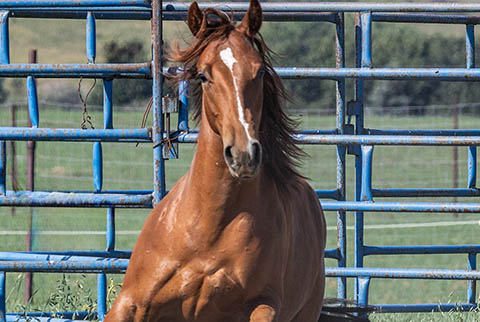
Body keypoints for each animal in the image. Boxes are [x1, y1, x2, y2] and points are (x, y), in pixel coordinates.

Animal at [105, 1, 326, 320]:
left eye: (259, 72)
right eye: (203, 75)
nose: (244, 154)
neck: (207, 230)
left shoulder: (264, 304)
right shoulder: (131, 302)